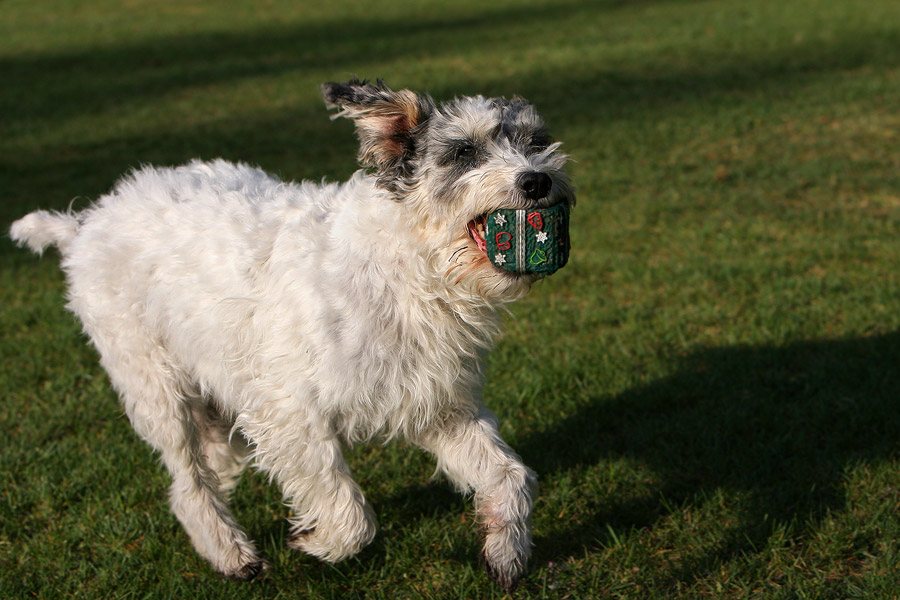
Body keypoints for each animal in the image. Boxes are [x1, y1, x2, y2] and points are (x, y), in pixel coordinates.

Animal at [8, 78, 576, 592]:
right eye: (463, 151)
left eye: (537, 141)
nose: (537, 181)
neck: (409, 271)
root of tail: (85, 222)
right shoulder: (289, 411)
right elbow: (351, 514)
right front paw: (316, 544)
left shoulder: (440, 407)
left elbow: (510, 477)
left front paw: (504, 552)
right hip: (156, 389)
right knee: (187, 484)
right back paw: (231, 553)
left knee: (213, 463)